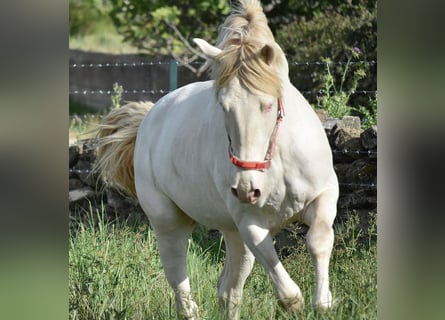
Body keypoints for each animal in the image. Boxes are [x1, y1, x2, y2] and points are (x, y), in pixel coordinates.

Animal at [93, 1, 336, 318]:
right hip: (170, 223)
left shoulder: (324, 195)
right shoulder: (249, 222)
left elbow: (318, 241)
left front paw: (324, 301)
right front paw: (298, 303)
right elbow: (288, 292)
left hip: (230, 233)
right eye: (223, 106)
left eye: (268, 105)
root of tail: (149, 117)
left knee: (229, 290)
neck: (277, 159)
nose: (246, 189)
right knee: (180, 282)